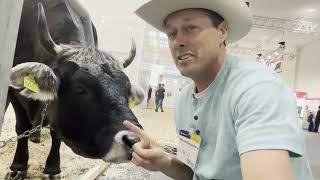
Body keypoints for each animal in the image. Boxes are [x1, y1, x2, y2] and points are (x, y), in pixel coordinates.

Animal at [3, 0, 143, 179]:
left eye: (126, 90)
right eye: (80, 89)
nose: (134, 140)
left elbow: (56, 135)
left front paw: (52, 169)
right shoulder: (13, 92)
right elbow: (22, 127)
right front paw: (18, 167)